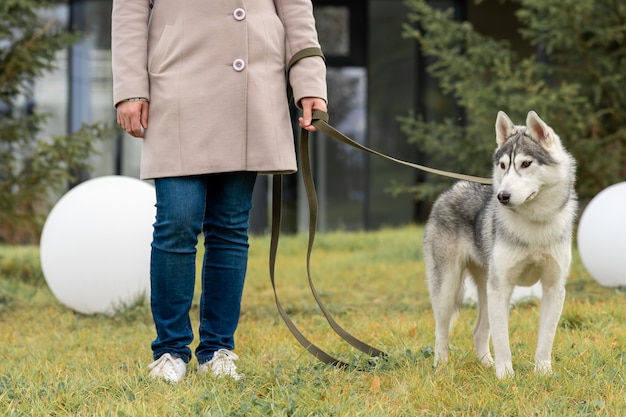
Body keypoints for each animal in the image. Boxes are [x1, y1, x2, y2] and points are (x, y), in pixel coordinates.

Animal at [424, 110, 576, 376]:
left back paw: (486, 364)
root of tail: (452, 189)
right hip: (448, 290)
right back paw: (441, 368)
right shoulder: (501, 287)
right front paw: (505, 376)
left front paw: (543, 373)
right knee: (441, 333)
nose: (502, 196)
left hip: (486, 290)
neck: (534, 224)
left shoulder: (554, 287)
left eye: (525, 164)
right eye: (503, 165)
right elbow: (502, 340)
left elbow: (546, 338)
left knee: (478, 332)